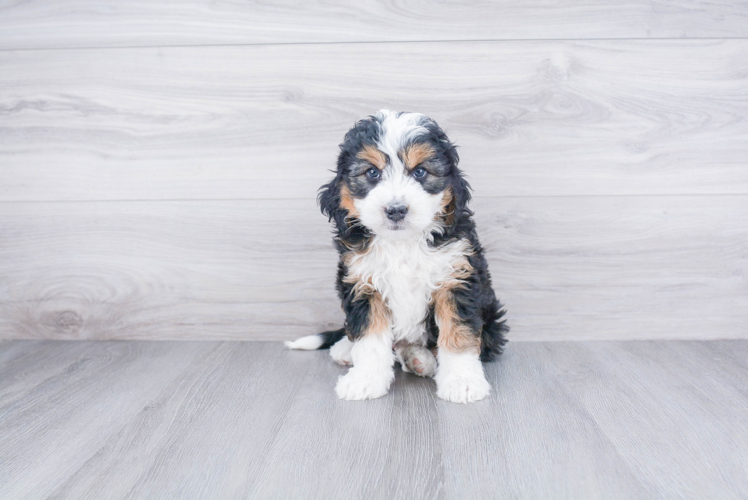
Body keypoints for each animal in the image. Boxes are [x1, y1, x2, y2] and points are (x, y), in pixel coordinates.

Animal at [286, 108, 508, 402]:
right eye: (372, 172)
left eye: (420, 172)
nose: (396, 210)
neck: (402, 242)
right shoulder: (364, 283)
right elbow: (369, 338)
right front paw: (364, 380)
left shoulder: (456, 278)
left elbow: (459, 332)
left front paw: (463, 382)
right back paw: (349, 349)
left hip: (491, 316)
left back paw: (419, 358)